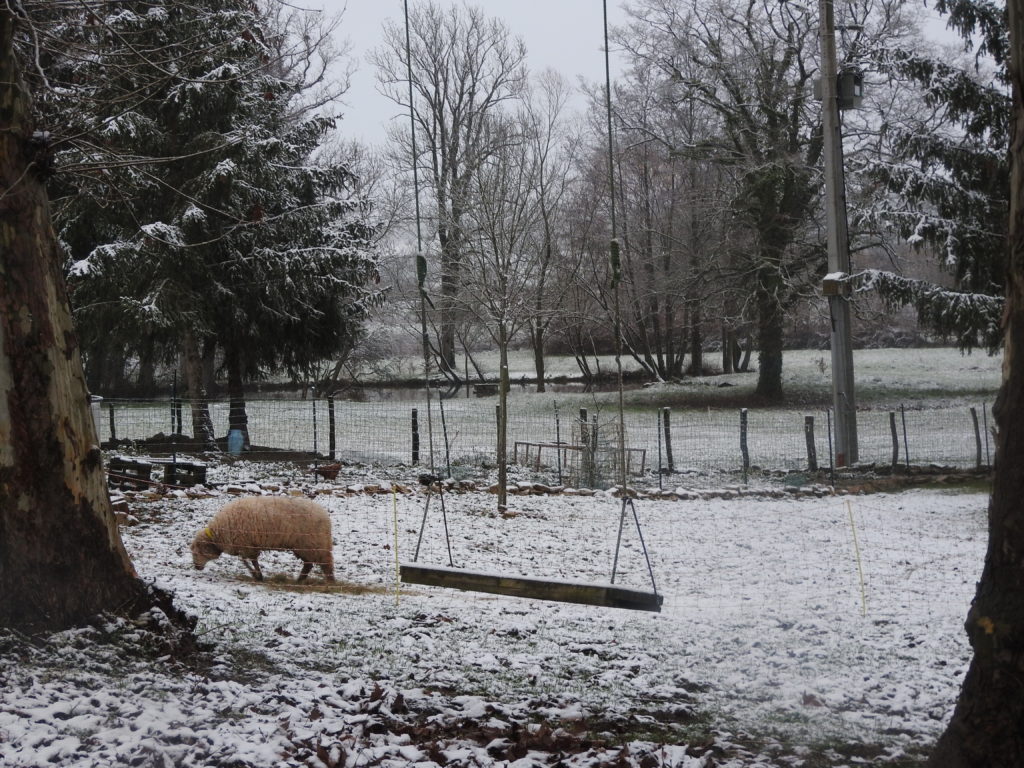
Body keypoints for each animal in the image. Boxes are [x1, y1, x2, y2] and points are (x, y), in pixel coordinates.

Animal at [190, 499, 333, 581]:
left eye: (197, 552)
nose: (196, 567)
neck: (219, 533)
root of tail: (325, 515)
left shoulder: (246, 544)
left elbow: (247, 560)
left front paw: (257, 575)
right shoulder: (249, 545)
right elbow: (247, 560)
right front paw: (258, 574)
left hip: (312, 543)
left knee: (324, 562)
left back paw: (330, 581)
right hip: (304, 546)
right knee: (309, 564)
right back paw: (300, 580)